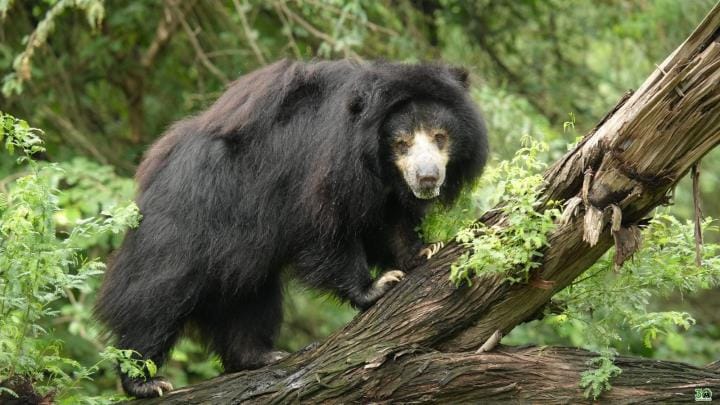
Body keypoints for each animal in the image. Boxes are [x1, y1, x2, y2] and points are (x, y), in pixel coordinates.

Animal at [94, 59, 488, 398]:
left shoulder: (385, 190)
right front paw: (376, 286)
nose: (427, 178)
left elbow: (390, 223)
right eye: (401, 142)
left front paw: (424, 251)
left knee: (250, 297)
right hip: (189, 220)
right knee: (157, 293)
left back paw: (261, 356)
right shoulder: (319, 171)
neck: (374, 162)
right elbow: (326, 231)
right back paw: (145, 380)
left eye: (440, 136)